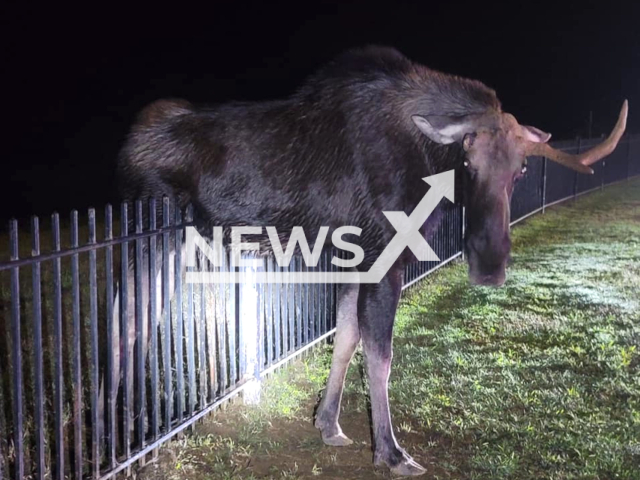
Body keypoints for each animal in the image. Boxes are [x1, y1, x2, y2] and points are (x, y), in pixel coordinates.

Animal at [112, 47, 628, 474]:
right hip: (154, 239)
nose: (490, 264)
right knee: (129, 326)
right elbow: (380, 355)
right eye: (468, 162)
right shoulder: (385, 259)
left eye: (520, 168)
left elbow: (345, 339)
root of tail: (128, 146)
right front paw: (391, 451)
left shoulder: (352, 260)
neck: (427, 164)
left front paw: (328, 423)